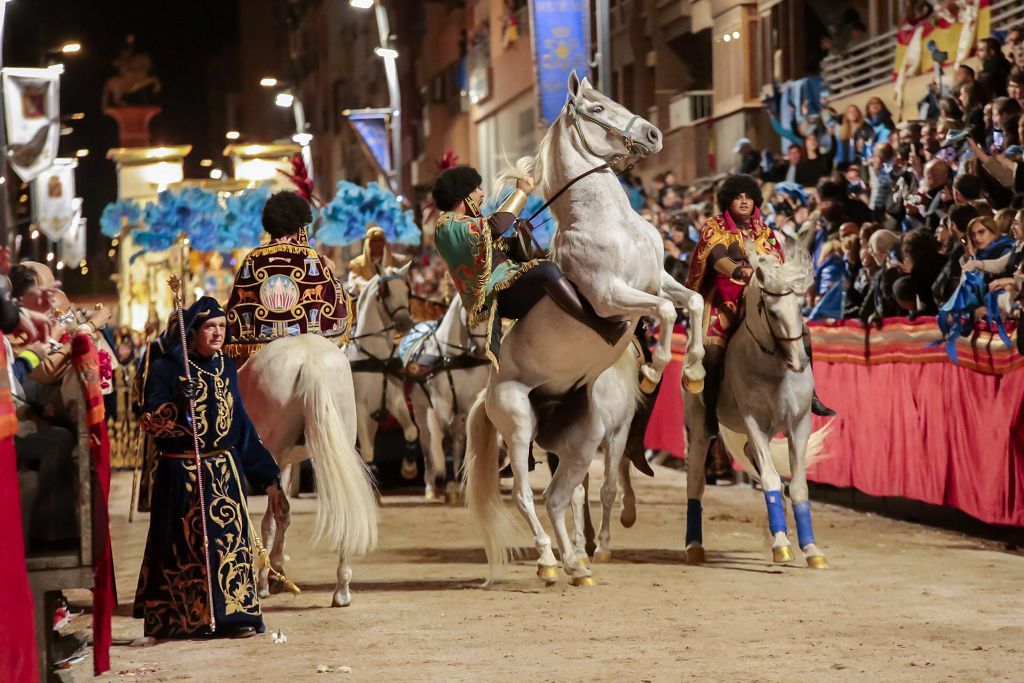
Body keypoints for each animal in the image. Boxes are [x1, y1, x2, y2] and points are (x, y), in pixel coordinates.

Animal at [236, 333, 380, 606]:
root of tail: (309, 360)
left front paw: (266, 578)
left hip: (274, 452)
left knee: (277, 512)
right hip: (339, 441)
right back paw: (342, 590)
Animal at [348, 264, 419, 479]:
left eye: (408, 290)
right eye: (385, 291)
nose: (406, 323)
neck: (378, 360)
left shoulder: (395, 399)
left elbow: (411, 431)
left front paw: (409, 467)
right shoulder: (360, 407)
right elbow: (368, 453)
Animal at [464, 73, 704, 589]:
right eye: (595, 109)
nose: (653, 134)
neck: (607, 223)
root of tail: (486, 393)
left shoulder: (657, 279)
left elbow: (692, 302)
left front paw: (693, 372)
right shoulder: (612, 297)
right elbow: (664, 315)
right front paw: (654, 372)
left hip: (582, 440)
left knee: (560, 496)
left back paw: (577, 564)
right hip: (518, 425)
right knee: (528, 497)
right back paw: (549, 562)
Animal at [679, 245, 831, 565]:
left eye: (801, 306)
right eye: (772, 312)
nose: (799, 362)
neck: (774, 367)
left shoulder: (799, 425)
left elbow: (798, 487)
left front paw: (811, 550)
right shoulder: (754, 424)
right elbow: (772, 480)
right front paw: (781, 545)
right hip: (699, 429)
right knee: (695, 483)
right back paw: (694, 546)